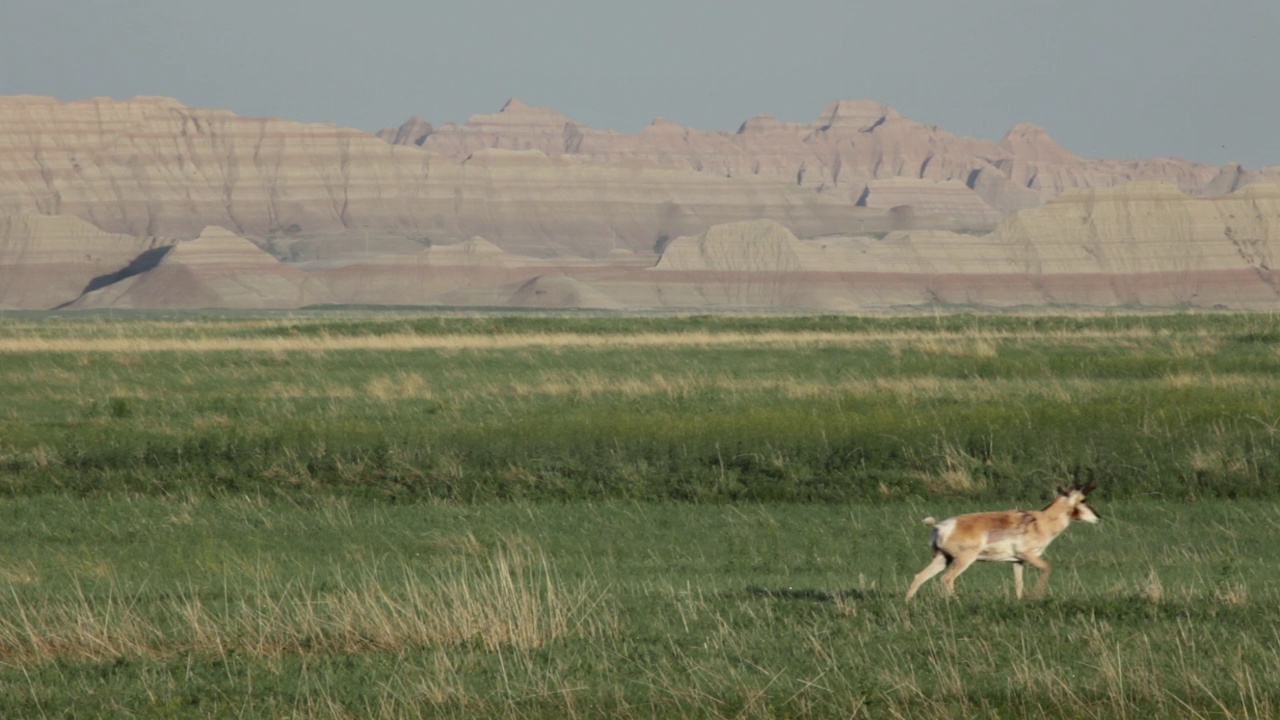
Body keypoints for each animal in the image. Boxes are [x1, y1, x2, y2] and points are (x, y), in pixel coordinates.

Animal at [901, 481, 1100, 599]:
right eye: (1083, 499)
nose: (1098, 516)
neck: (1040, 520)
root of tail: (940, 526)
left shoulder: (1018, 561)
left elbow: (1019, 584)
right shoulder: (1028, 555)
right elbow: (1048, 567)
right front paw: (1035, 596)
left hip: (943, 558)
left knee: (920, 576)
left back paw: (908, 605)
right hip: (964, 559)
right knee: (946, 579)